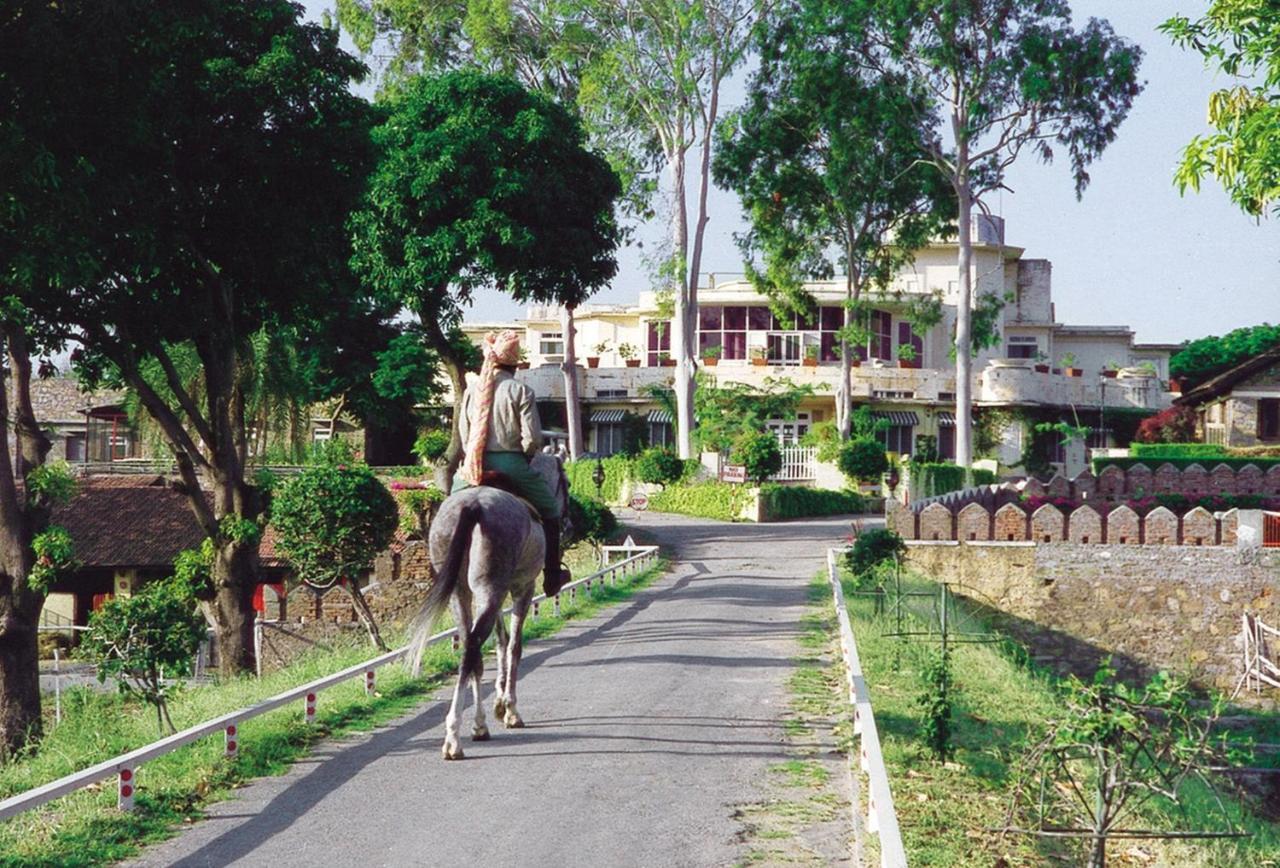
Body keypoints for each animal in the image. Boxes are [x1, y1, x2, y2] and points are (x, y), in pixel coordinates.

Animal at [404, 455, 570, 763]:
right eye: (565, 483)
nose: (568, 519)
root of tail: (474, 505)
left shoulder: (498, 593)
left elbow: (500, 641)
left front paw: (499, 702)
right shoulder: (522, 588)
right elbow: (514, 646)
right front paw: (510, 708)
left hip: (466, 593)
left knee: (471, 649)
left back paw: (475, 726)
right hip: (493, 589)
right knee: (474, 648)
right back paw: (455, 736)